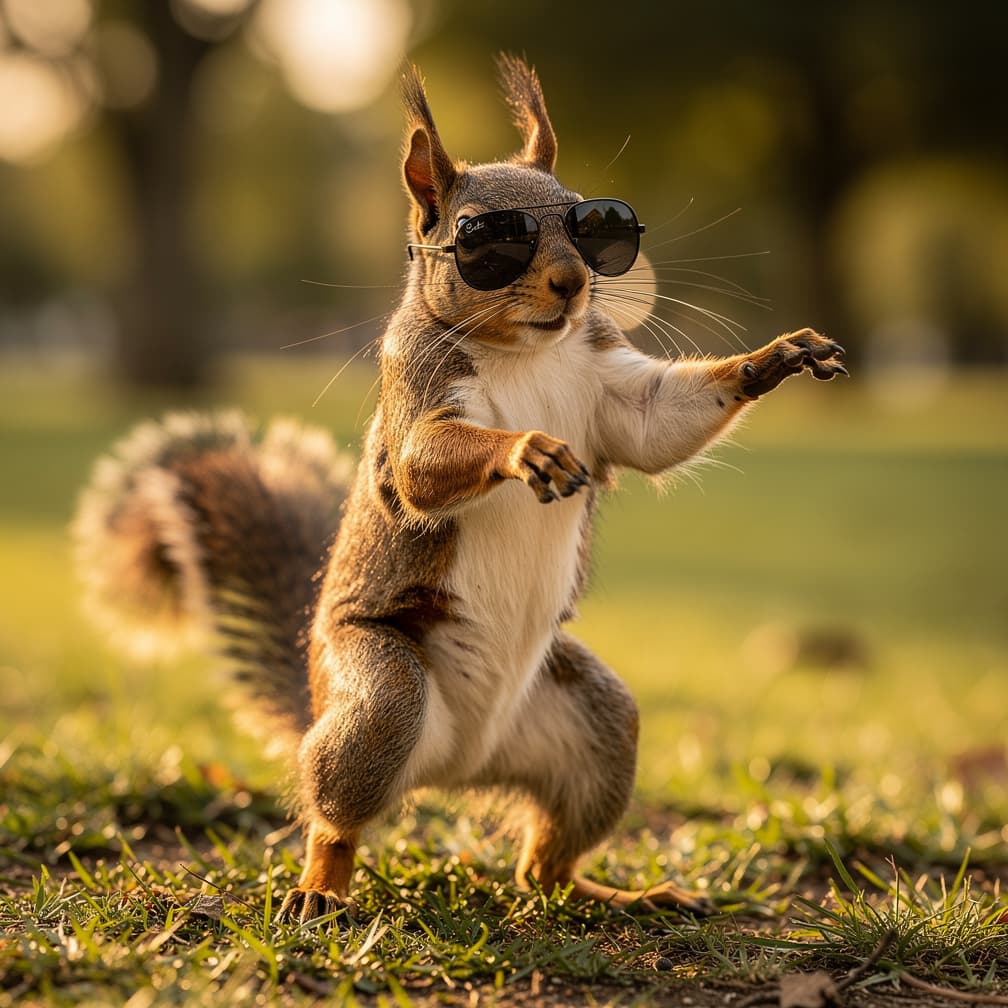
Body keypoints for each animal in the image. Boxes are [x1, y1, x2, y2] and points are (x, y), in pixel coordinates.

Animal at [73, 55, 847, 925]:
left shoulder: (615, 393)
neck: (525, 352)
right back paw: (321, 888)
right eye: (484, 237)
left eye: (593, 226)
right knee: (337, 814)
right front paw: (527, 450)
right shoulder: (418, 386)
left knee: (544, 865)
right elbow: (421, 464)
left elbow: (657, 425)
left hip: (597, 724)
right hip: (379, 695)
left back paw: (625, 892)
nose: (572, 282)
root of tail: (454, 766)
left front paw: (776, 357)